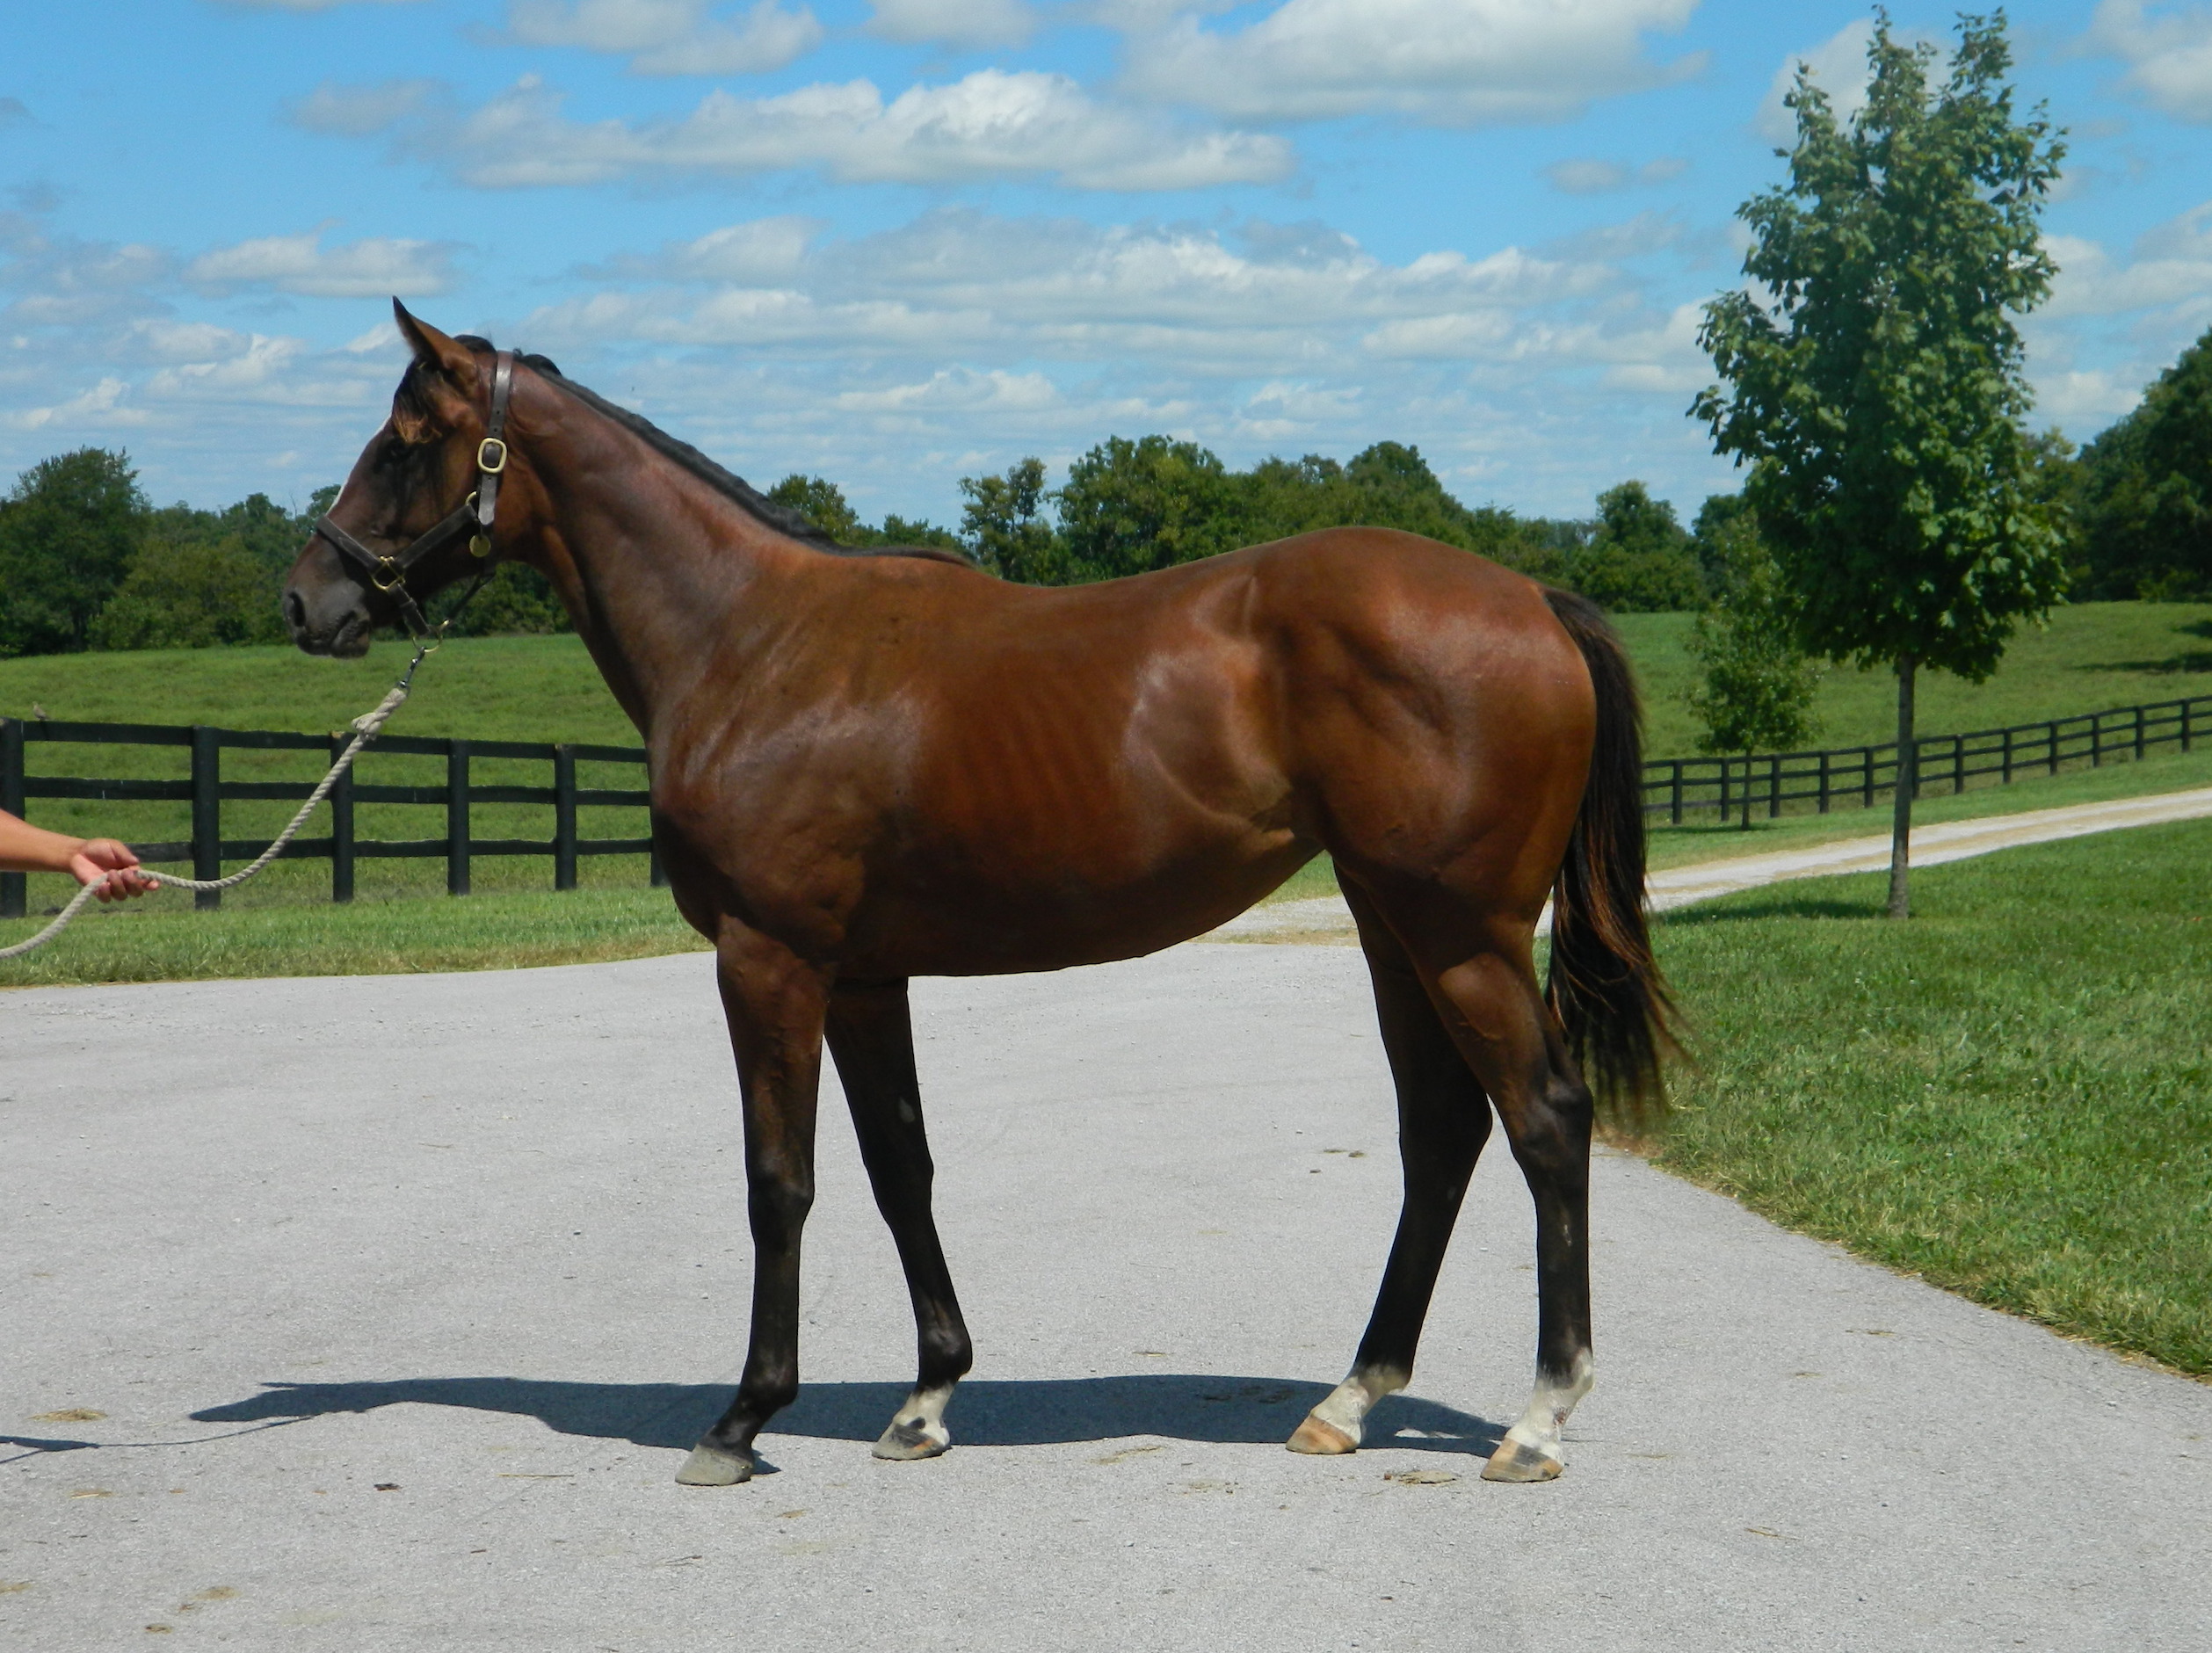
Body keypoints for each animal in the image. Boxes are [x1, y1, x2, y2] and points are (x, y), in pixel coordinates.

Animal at [276, 302, 1663, 1496]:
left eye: (404, 442)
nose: (308, 598)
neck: (751, 642)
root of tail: (1533, 598)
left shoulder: (767, 959)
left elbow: (779, 1179)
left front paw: (742, 1417)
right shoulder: (860, 975)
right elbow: (902, 1167)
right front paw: (927, 1398)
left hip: (1460, 935)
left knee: (1544, 1121)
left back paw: (1538, 1419)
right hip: (1394, 928)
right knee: (1443, 1133)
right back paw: (1351, 1399)